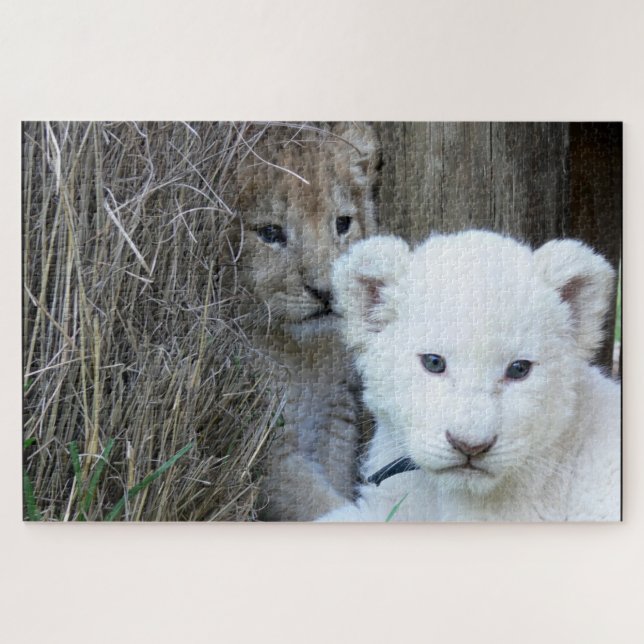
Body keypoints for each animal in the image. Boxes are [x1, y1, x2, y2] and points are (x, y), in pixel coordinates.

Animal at [231, 123, 379, 520]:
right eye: (270, 233)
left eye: (342, 224)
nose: (327, 291)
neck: (304, 356)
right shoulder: (261, 444)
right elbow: (319, 505)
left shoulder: (335, 418)